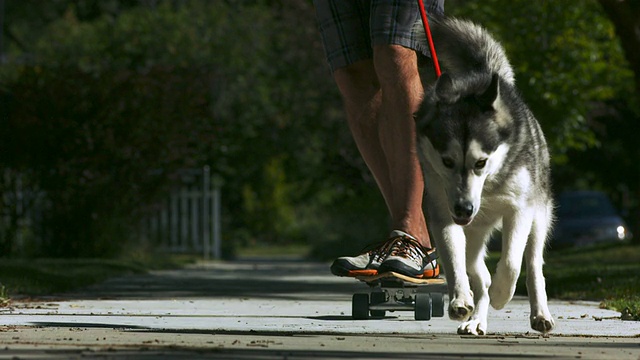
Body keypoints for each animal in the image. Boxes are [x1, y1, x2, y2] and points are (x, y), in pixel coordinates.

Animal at [416, 17, 556, 334]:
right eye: (447, 161)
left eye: (481, 162)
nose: (464, 208)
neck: (488, 186)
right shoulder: (441, 212)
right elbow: (453, 259)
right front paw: (460, 299)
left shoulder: (520, 209)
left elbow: (512, 263)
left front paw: (503, 294)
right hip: (474, 235)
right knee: (479, 274)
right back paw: (476, 318)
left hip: (539, 215)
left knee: (533, 264)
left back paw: (539, 312)